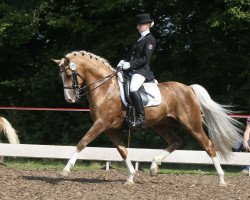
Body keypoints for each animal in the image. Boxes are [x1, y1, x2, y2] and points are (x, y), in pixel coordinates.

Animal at [53, 50, 242, 186]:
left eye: (69, 75)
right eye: (60, 76)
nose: (69, 99)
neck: (105, 88)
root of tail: (188, 88)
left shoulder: (101, 124)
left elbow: (82, 143)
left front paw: (65, 170)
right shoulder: (110, 129)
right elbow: (123, 151)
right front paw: (130, 177)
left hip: (192, 124)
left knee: (208, 146)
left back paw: (222, 179)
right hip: (161, 125)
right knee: (176, 141)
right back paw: (153, 167)